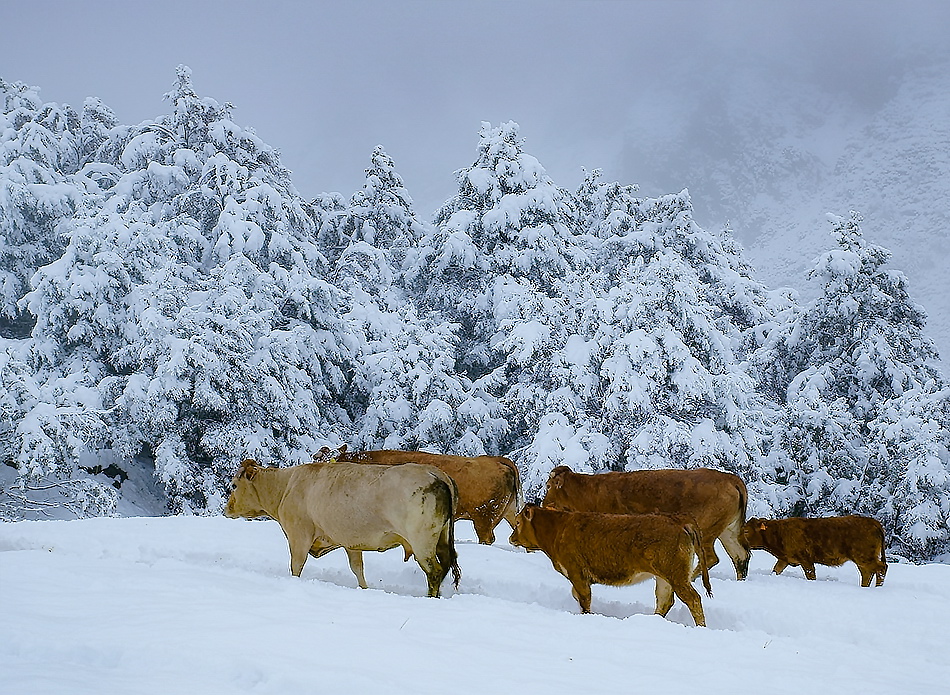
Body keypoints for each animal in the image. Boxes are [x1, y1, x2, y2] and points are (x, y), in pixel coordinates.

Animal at [223, 456, 462, 600]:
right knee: (445, 565)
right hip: (442, 538)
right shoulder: (351, 542)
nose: (227, 509)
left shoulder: (299, 535)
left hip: (422, 542)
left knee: (434, 571)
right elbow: (357, 568)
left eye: (233, 485)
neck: (286, 485)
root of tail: (434, 473)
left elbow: (296, 566)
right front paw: (364, 589)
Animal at [510, 502, 712, 628]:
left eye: (518, 522)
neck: (558, 529)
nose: (511, 538)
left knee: (693, 599)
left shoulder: (577, 573)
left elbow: (584, 600)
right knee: (664, 600)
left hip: (676, 575)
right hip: (665, 577)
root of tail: (677, 518)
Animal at [544, 468, 752, 580]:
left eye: (548, 486)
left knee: (710, 557)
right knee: (741, 554)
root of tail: (729, 478)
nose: (543, 502)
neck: (590, 491)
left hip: (706, 530)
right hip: (728, 530)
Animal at [740, 516, 888, 588]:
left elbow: (811, 575)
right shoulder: (785, 558)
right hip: (863, 558)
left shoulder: (806, 559)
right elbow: (776, 570)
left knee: (881, 568)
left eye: (746, 531)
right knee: (867, 573)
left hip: (864, 556)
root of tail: (874, 522)